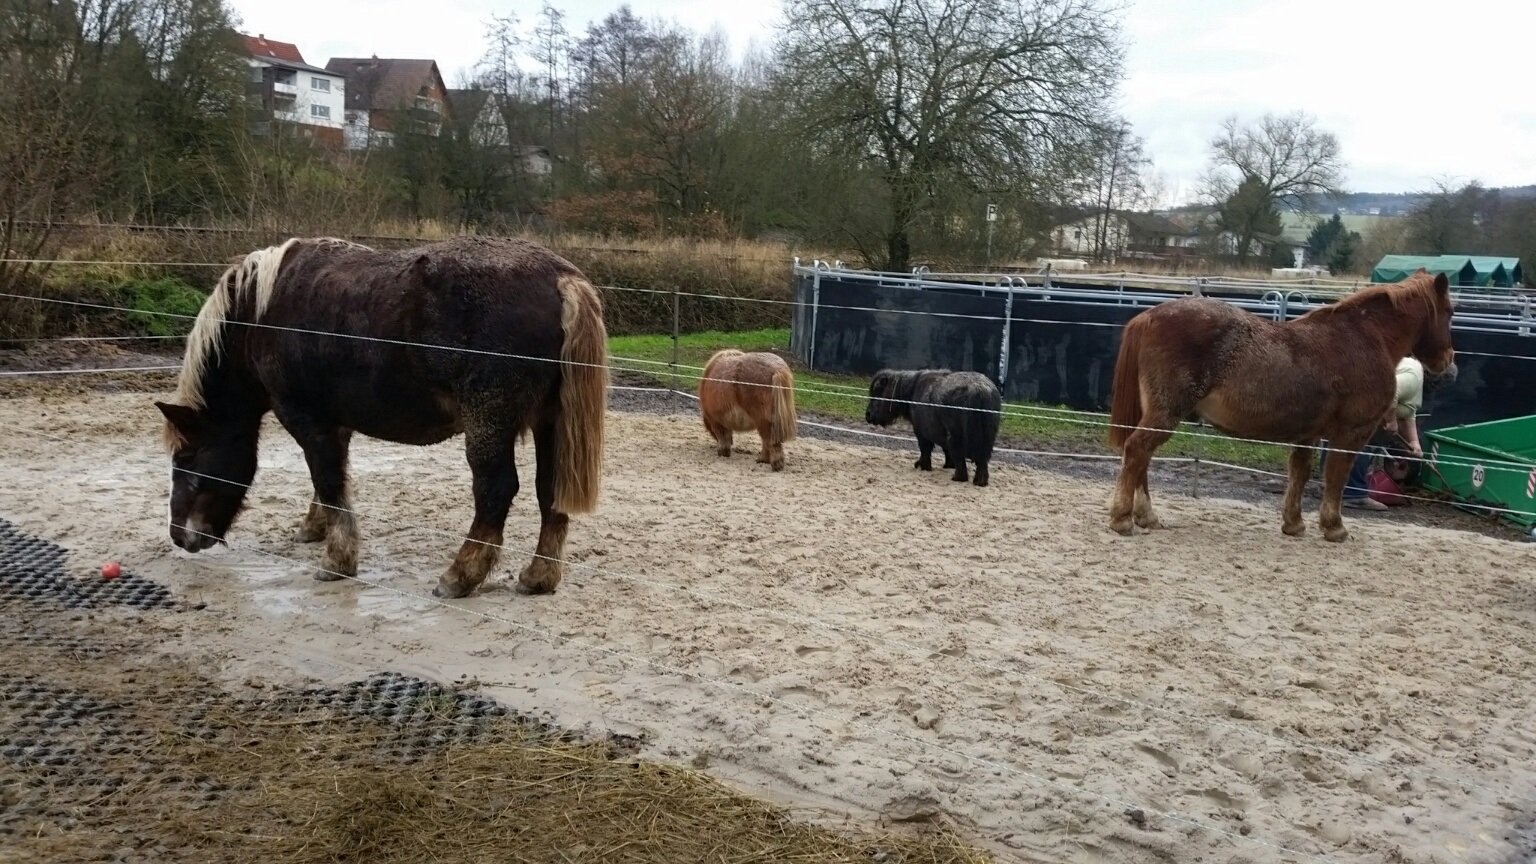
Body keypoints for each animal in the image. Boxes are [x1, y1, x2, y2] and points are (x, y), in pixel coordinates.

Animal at [153, 235, 609, 599]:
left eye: (188, 459)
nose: (179, 535)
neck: (259, 315)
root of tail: (561, 278)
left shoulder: (306, 420)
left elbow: (328, 481)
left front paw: (337, 561)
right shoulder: (334, 426)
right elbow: (330, 482)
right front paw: (314, 528)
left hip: (489, 423)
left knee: (495, 491)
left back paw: (460, 576)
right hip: (550, 423)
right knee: (549, 490)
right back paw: (539, 576)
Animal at [864, 369, 1001, 487]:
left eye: (877, 390)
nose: (868, 415)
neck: (911, 389)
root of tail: (980, 389)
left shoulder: (921, 433)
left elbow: (925, 450)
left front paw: (923, 466)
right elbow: (945, 451)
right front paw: (947, 465)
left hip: (956, 438)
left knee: (962, 466)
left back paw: (957, 477)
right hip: (986, 440)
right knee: (982, 461)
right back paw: (980, 481)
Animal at [1106, 269, 1456, 542]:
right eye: (1450, 311)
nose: (1448, 361)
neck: (1365, 338)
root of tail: (1149, 316)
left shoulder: (1308, 434)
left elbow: (1299, 473)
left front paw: (1294, 523)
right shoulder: (1351, 433)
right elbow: (1336, 477)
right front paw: (1334, 527)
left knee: (1142, 458)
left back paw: (1145, 517)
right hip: (1166, 413)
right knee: (1137, 451)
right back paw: (1123, 519)